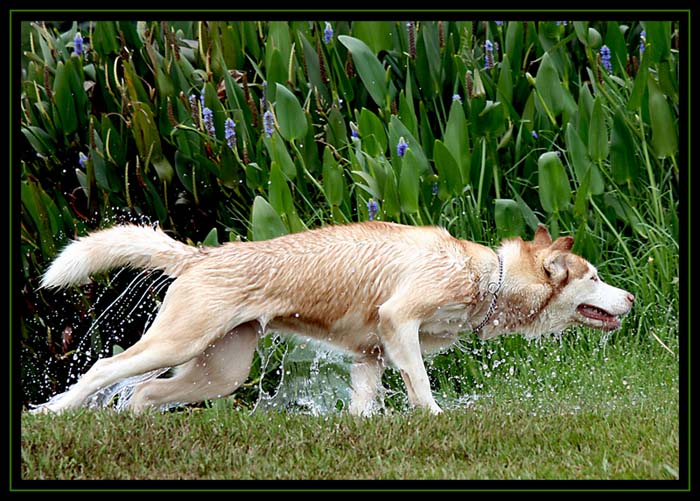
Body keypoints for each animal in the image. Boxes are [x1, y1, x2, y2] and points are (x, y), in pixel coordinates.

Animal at [32, 223, 636, 414]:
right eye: (594, 277)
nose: (630, 300)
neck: (486, 275)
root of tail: (200, 255)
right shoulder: (398, 321)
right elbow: (421, 387)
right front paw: (438, 419)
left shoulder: (371, 355)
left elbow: (363, 409)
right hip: (175, 344)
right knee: (103, 371)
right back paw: (51, 414)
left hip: (219, 372)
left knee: (143, 393)